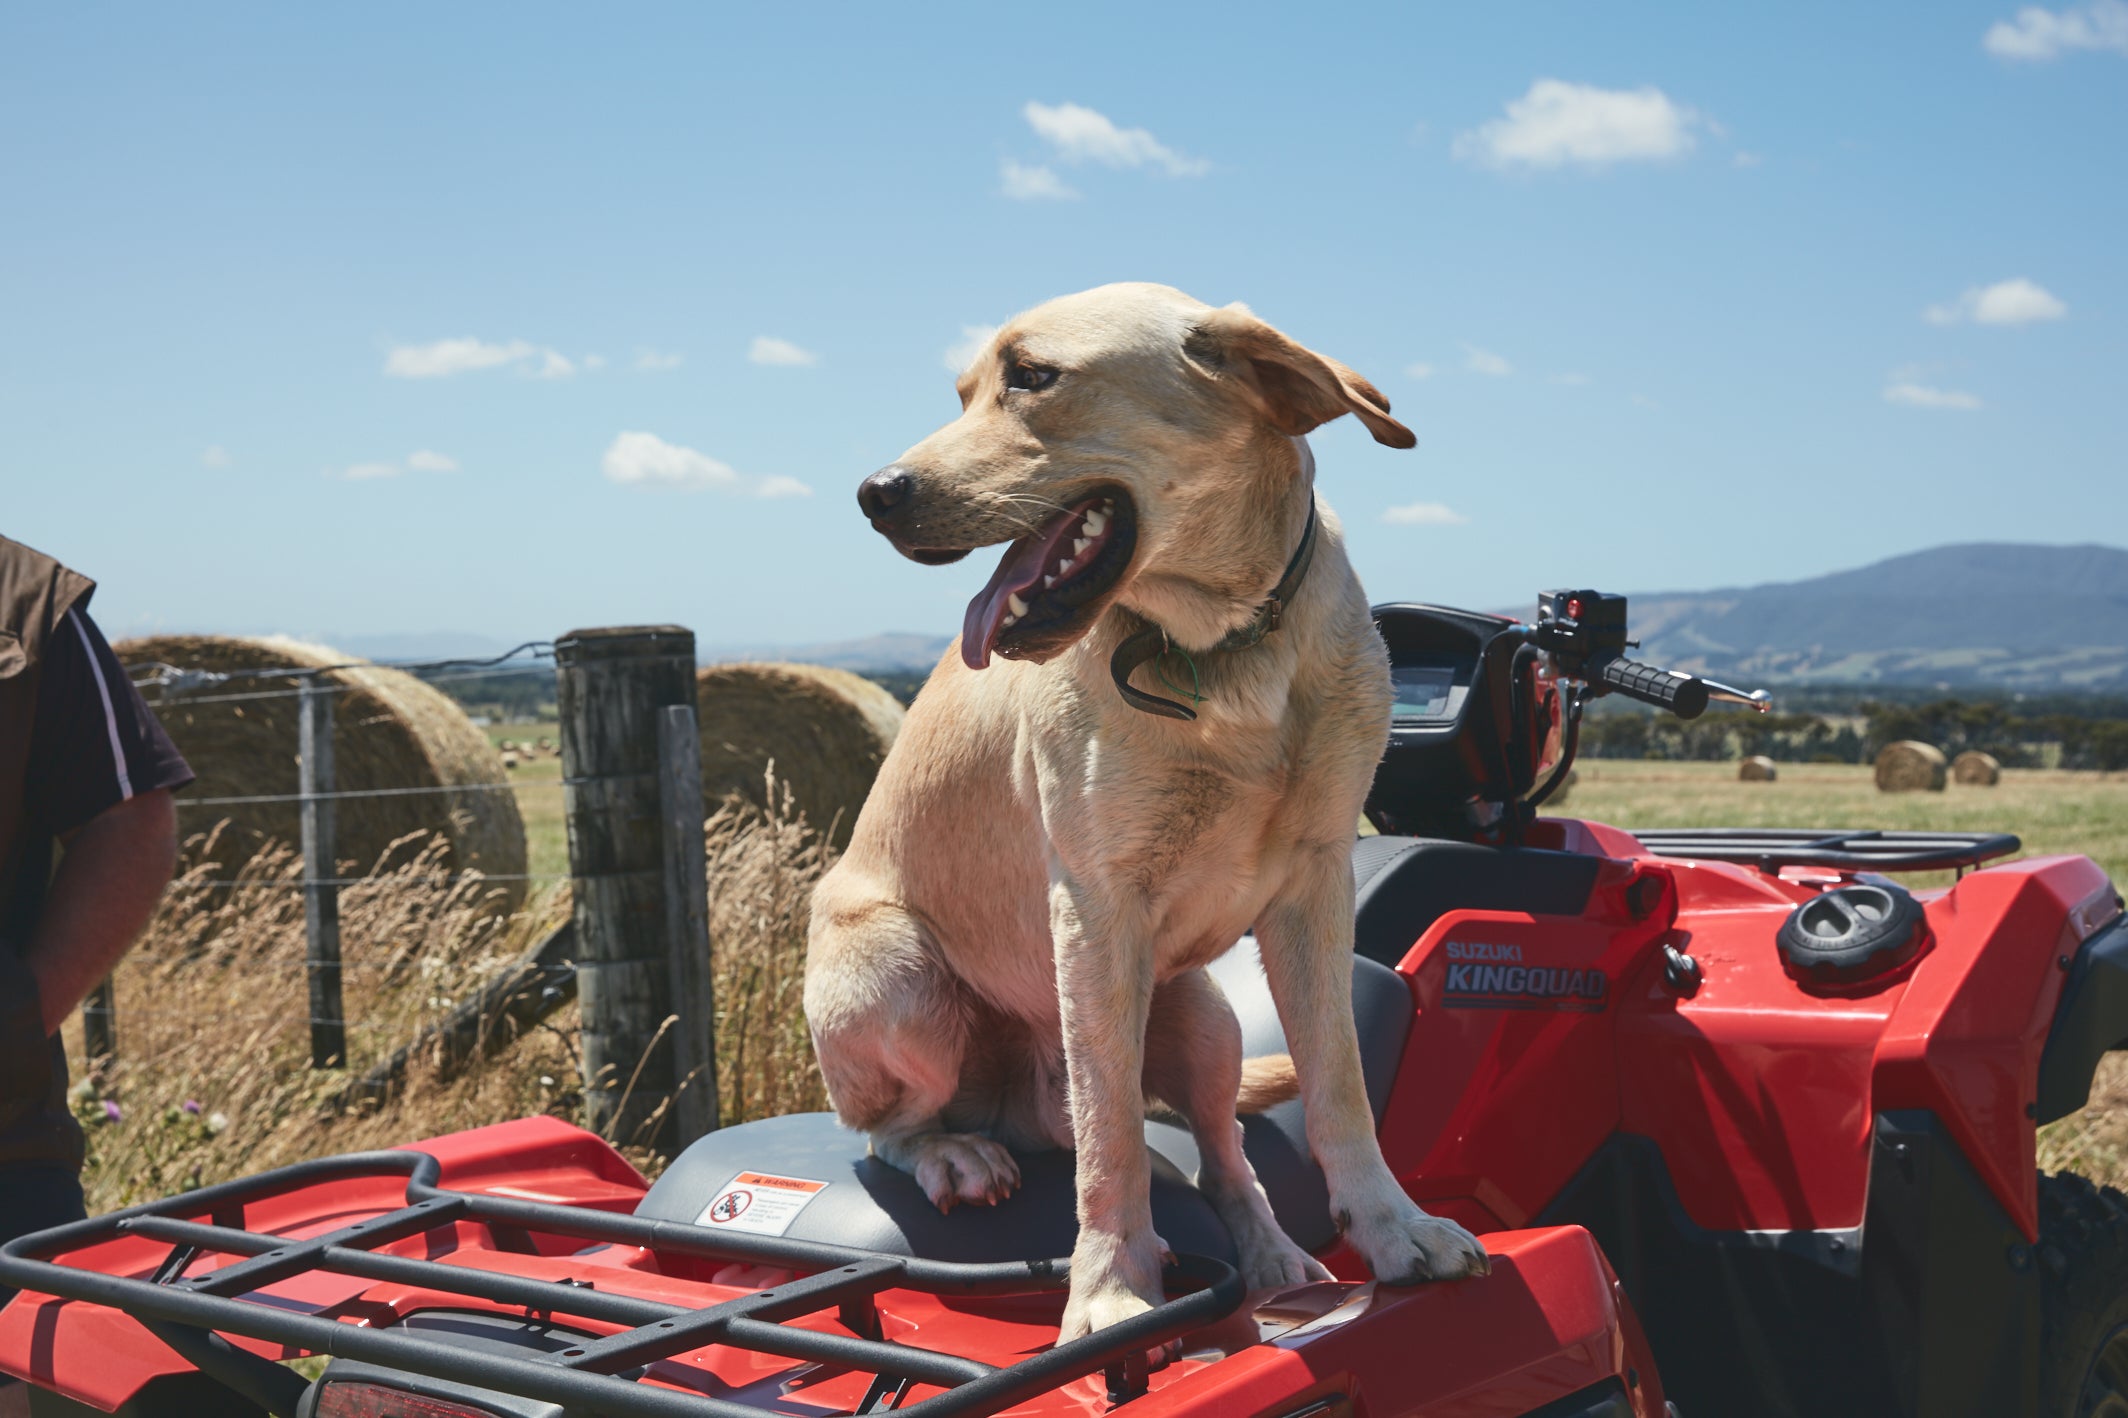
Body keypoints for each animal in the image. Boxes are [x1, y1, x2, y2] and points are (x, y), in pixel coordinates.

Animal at [804, 281, 1489, 1345]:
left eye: (1032, 377)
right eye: (964, 393)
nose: (876, 493)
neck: (1219, 645)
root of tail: (1018, 1111)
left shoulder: (1316, 883)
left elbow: (1339, 1085)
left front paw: (1392, 1229)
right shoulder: (1095, 909)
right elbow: (1114, 1136)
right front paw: (1111, 1290)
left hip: (1204, 1017)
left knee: (1225, 1153)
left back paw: (1271, 1253)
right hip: (893, 978)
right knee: (892, 1130)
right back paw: (956, 1154)